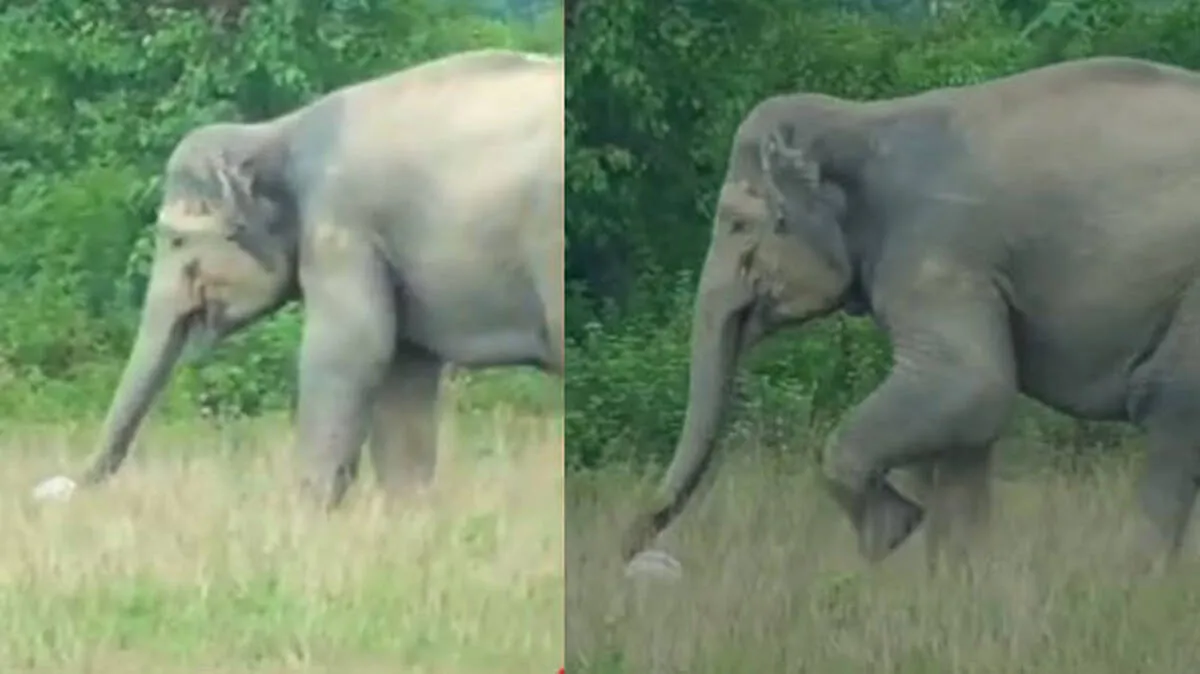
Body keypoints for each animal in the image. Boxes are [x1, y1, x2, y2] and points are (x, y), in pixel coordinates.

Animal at [39, 48, 564, 508]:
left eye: (177, 241)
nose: (56, 489)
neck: (276, 131)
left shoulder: (341, 227)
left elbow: (350, 349)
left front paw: (308, 515)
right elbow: (402, 369)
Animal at [621, 55, 1200, 572]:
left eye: (739, 225)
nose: (632, 546)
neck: (864, 119)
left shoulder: (939, 252)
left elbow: (971, 384)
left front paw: (893, 532)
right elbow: (969, 427)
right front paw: (957, 586)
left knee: (1168, 410)